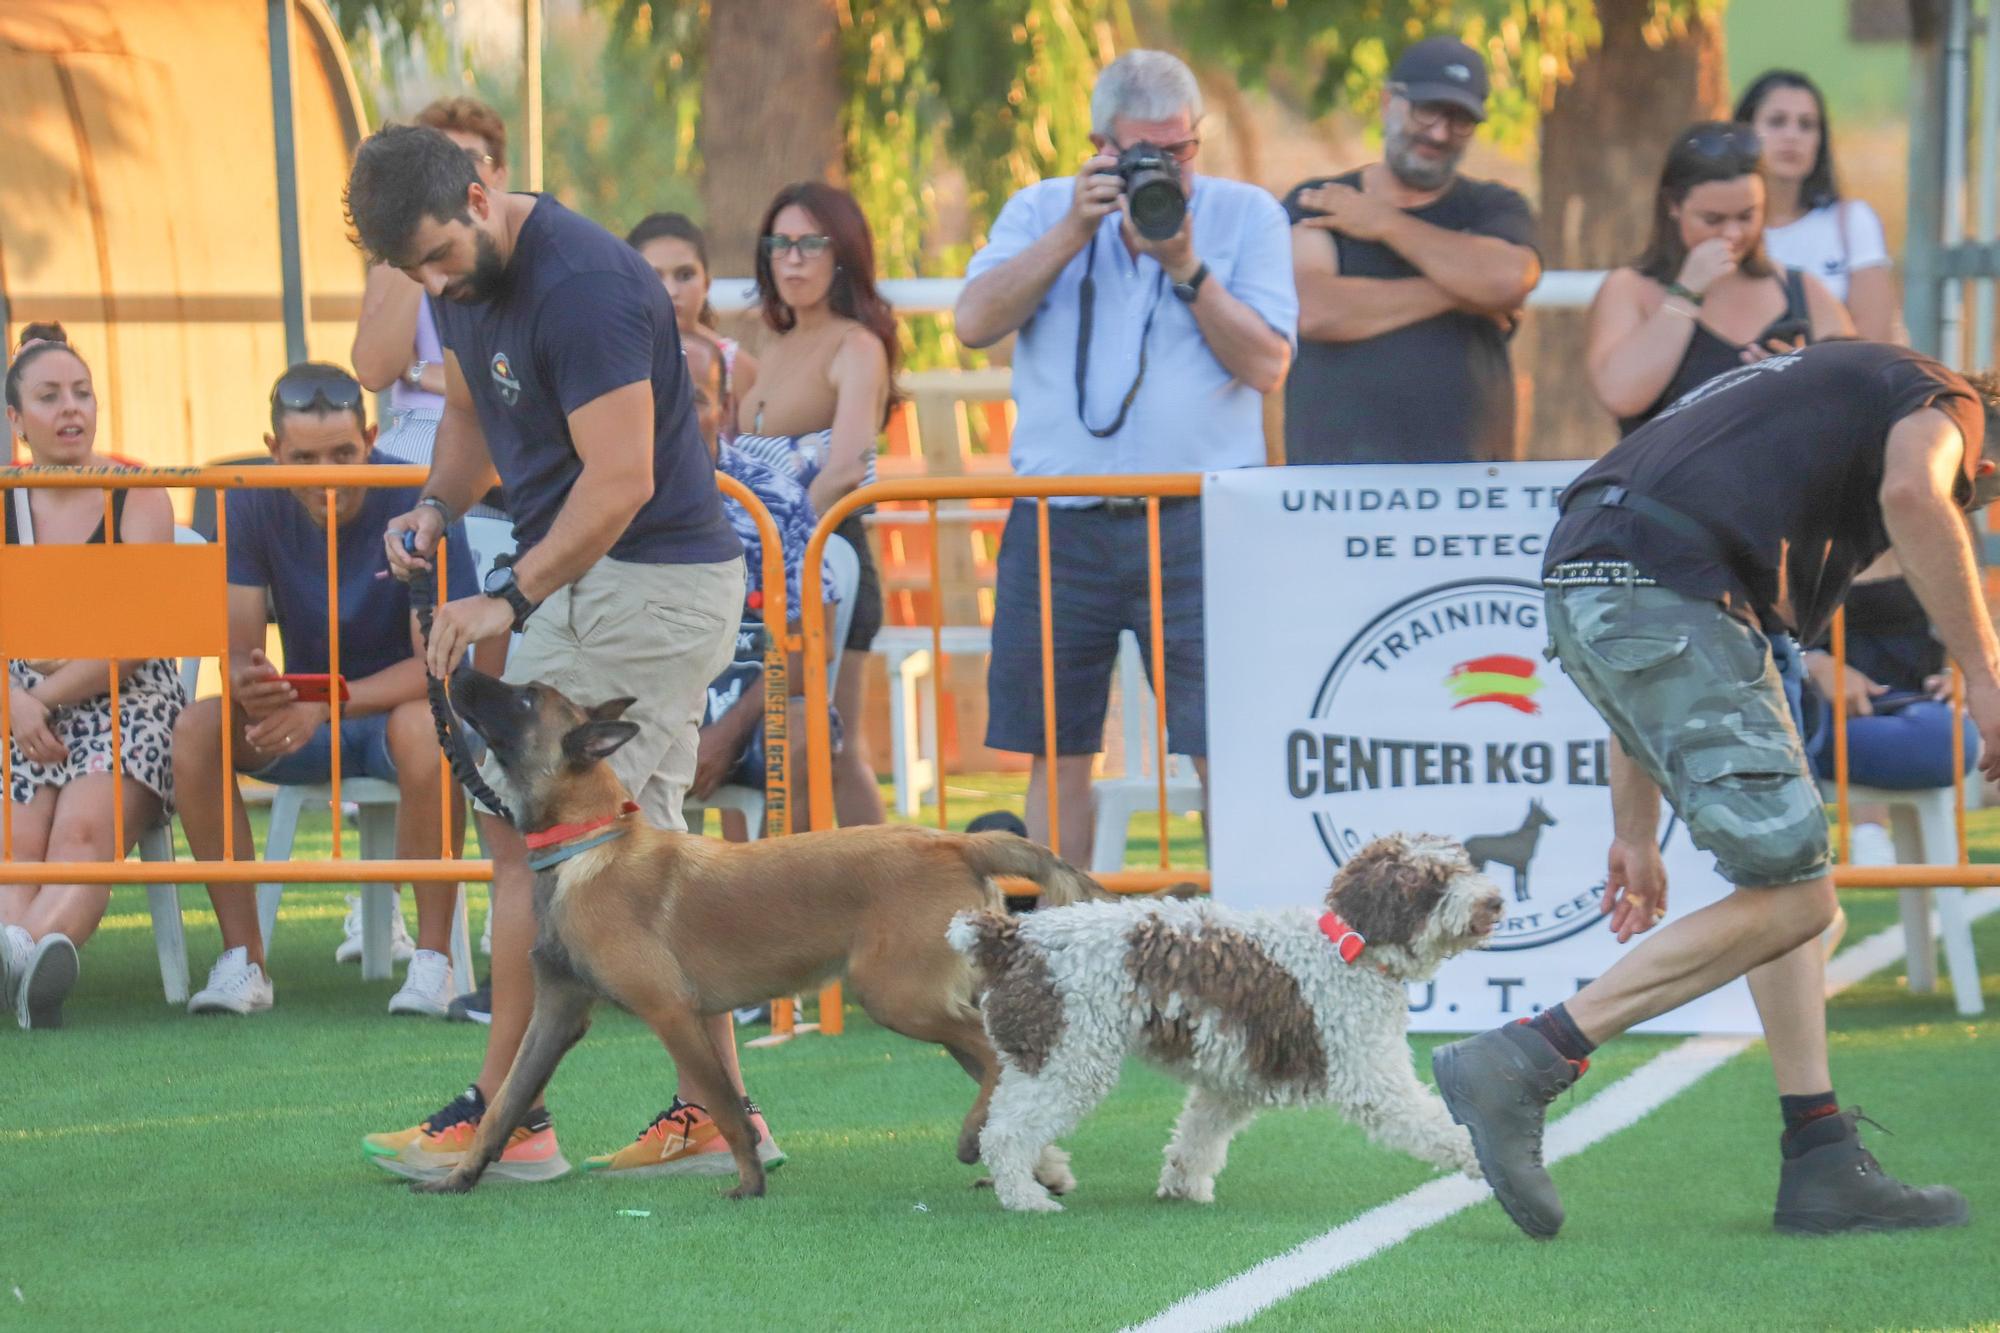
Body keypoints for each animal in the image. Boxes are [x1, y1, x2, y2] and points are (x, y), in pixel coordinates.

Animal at [412, 664, 1104, 1192]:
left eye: (526, 697)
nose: (456, 668)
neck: (588, 845)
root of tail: (957, 842)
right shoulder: (556, 1014)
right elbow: (504, 1104)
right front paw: (461, 1178)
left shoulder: (671, 1012)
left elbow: (725, 1106)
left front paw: (748, 1184)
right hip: (931, 1001)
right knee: (1002, 1065)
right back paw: (1025, 1161)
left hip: (896, 998)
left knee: (992, 1058)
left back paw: (973, 1143)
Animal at [948, 836, 1504, 1208]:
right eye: (1433, 880)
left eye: (1465, 865)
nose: (1495, 899)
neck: (1347, 947)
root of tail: (1014, 935)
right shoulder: (1371, 1078)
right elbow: (1438, 1125)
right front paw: (1488, 1160)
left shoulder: (1232, 1080)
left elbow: (1198, 1136)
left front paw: (1182, 1184)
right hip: (1070, 1060)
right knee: (1005, 1134)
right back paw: (1025, 1197)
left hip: (1041, 1057)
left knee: (999, 1120)